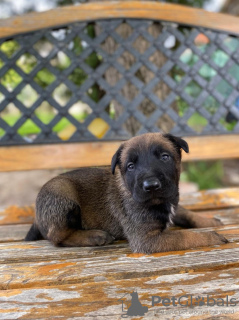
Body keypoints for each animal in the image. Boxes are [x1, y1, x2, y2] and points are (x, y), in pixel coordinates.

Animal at [24, 132, 228, 252]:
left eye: (165, 157)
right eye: (130, 166)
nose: (151, 186)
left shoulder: (171, 202)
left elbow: (185, 212)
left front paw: (209, 221)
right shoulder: (146, 240)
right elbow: (185, 236)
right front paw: (212, 236)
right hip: (62, 192)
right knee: (57, 237)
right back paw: (95, 236)